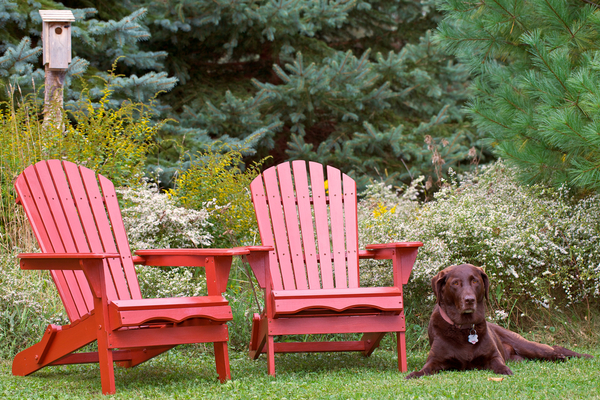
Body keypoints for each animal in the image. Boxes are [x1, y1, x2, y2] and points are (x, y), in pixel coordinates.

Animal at [406, 264, 592, 379]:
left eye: (475, 281)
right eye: (456, 283)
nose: (469, 300)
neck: (465, 329)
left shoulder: (493, 356)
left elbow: (499, 364)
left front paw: (505, 371)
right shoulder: (435, 360)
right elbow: (426, 368)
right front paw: (414, 374)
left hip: (527, 346)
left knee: (554, 349)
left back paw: (571, 356)